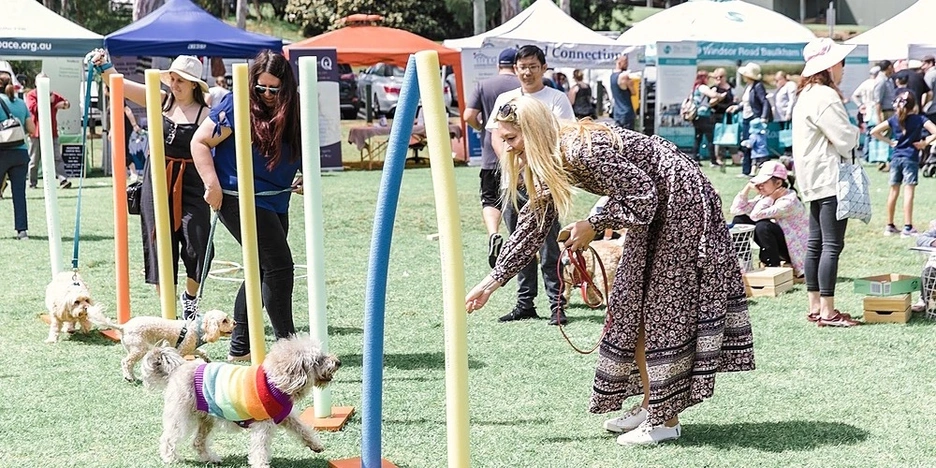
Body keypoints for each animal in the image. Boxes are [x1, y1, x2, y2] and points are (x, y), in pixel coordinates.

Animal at [143, 332, 340, 468]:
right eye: (318, 360)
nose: (338, 362)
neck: (275, 383)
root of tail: (178, 368)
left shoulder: (287, 417)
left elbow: (303, 429)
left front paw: (316, 445)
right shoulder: (263, 425)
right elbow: (260, 449)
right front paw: (261, 465)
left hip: (206, 419)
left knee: (198, 442)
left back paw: (211, 458)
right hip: (181, 416)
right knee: (168, 438)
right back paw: (170, 458)